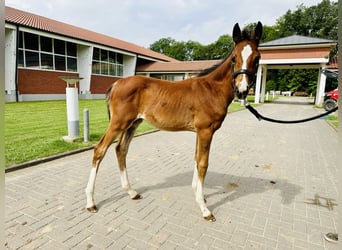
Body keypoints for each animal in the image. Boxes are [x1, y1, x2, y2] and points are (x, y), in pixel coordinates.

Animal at [85, 21, 262, 221]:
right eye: (233, 58)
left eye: (257, 58)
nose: (242, 90)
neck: (211, 89)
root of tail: (116, 83)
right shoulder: (206, 131)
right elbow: (203, 163)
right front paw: (204, 208)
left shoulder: (200, 132)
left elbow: (196, 159)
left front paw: (199, 196)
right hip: (118, 123)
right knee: (100, 149)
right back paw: (90, 202)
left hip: (132, 123)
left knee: (120, 149)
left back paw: (131, 192)